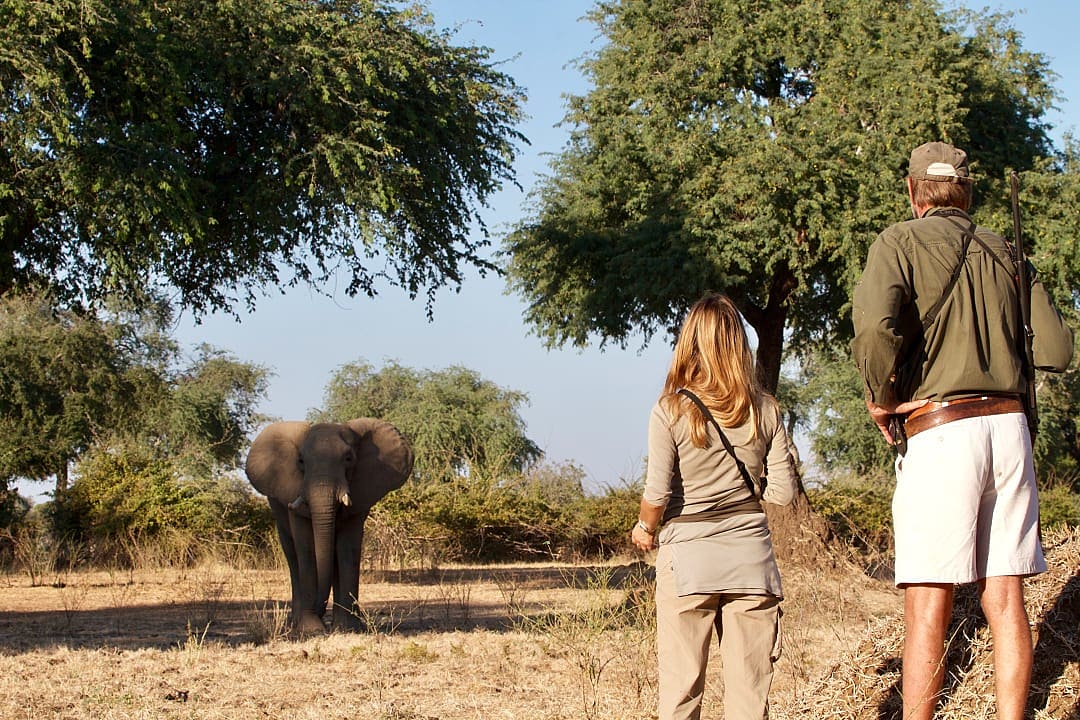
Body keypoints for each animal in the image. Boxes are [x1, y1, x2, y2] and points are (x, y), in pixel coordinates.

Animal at [245, 418, 413, 633]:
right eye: (301, 461)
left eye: (349, 458)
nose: (320, 614)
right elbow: (305, 547)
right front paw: (311, 630)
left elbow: (347, 548)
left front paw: (349, 628)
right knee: (292, 555)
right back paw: (295, 624)